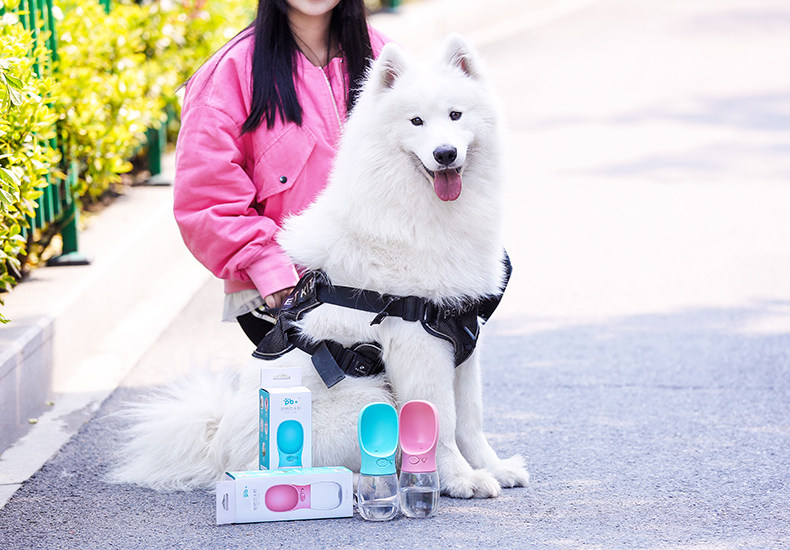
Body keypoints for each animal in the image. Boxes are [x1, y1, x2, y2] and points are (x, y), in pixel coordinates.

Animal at [112, 34, 529, 499]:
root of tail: (218, 447)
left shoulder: (463, 336)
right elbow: (442, 421)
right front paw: (459, 479)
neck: (420, 209)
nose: (445, 153)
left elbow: (471, 420)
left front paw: (493, 467)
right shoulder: (420, 344)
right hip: (368, 397)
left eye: (456, 115)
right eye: (417, 121)